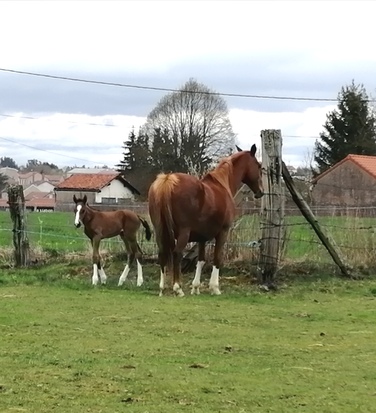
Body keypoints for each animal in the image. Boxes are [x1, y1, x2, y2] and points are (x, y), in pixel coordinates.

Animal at [148, 145, 262, 296]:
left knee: (162, 254)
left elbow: (201, 260)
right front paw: (215, 288)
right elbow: (217, 259)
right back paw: (178, 288)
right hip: (183, 233)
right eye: (258, 166)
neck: (222, 184)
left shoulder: (201, 238)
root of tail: (168, 179)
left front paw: (195, 288)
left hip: (160, 231)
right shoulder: (223, 232)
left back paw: (162, 288)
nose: (260, 192)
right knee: (177, 254)